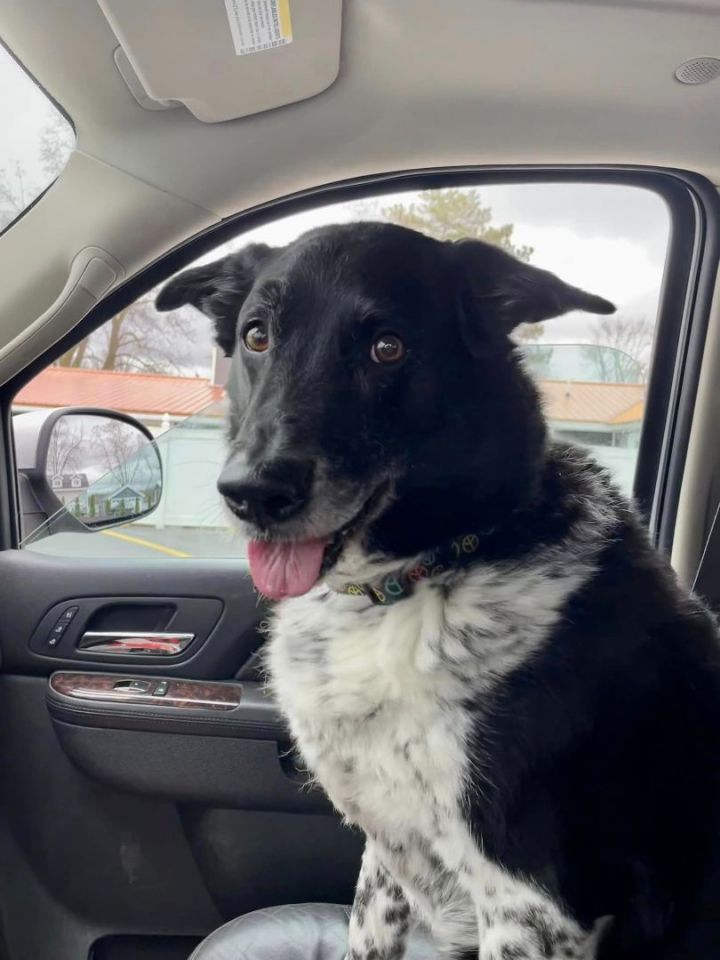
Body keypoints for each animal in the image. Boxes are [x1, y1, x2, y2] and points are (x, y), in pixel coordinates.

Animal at [160, 223, 720, 960]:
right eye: (257, 336)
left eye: (387, 348)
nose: (253, 493)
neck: (429, 570)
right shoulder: (387, 849)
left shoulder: (532, 906)